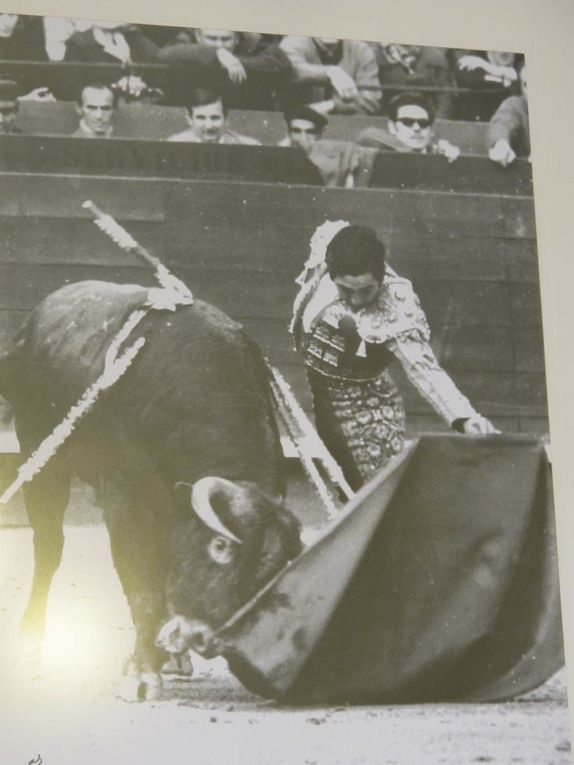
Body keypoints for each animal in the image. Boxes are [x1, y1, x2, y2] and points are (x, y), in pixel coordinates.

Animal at [0, 280, 306, 700]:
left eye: (270, 574)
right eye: (220, 547)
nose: (201, 637)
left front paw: (158, 656)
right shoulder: (126, 499)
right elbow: (141, 581)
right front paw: (142, 674)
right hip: (40, 454)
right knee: (48, 547)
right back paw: (29, 647)